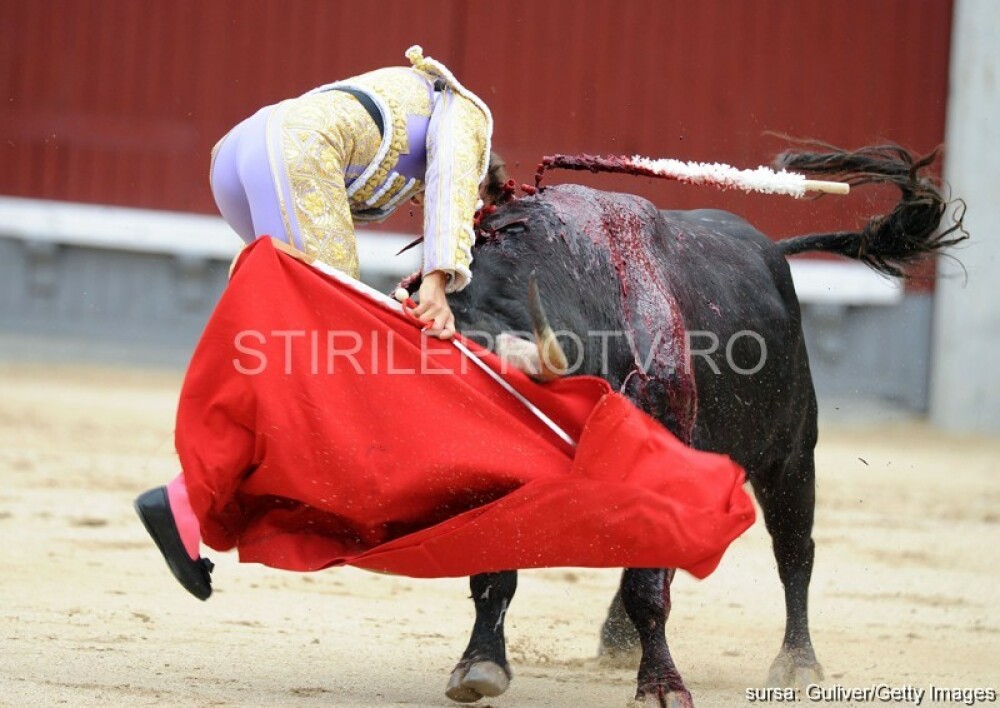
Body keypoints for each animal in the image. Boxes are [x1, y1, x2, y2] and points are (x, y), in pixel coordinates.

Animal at [428, 145, 960, 708]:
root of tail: (772, 251)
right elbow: (495, 572)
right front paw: (480, 663)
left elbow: (647, 586)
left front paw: (661, 686)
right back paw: (618, 640)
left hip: (792, 455)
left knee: (794, 550)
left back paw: (797, 662)